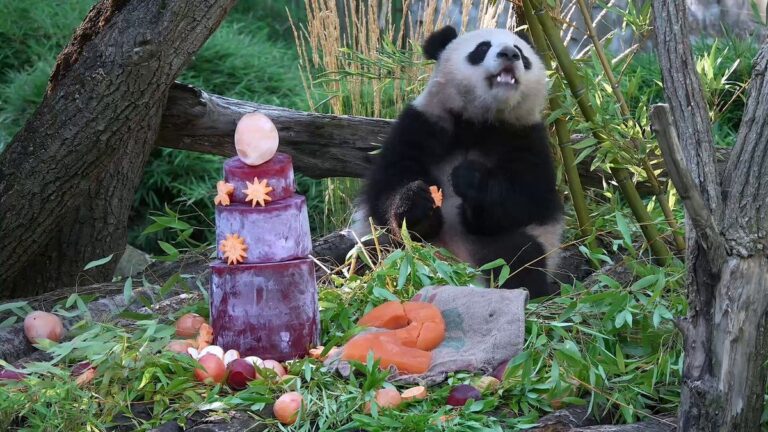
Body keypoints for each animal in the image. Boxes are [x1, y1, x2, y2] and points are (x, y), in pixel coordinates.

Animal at [350, 25, 564, 299]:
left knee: (520, 253)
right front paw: (417, 201)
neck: (479, 122)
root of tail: (459, 272)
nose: (509, 54)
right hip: (391, 252)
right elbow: (386, 189)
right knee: (377, 256)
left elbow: (528, 199)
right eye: (482, 48)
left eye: (522, 53)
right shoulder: (421, 125)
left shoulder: (526, 138)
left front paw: (470, 179)